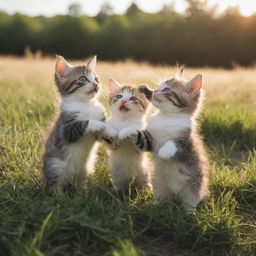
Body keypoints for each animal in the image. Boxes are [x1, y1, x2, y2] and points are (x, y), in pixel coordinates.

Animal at [42, 55, 116, 194]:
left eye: (96, 79)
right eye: (83, 78)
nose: (96, 84)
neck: (86, 104)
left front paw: (110, 129)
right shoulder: (67, 129)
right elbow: (86, 122)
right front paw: (101, 125)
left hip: (86, 167)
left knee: (81, 181)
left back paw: (83, 192)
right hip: (54, 165)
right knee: (54, 184)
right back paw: (58, 195)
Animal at [119, 71, 209, 211]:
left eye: (166, 89)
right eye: (158, 87)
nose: (154, 91)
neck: (167, 117)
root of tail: (175, 194)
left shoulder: (188, 145)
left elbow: (175, 143)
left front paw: (164, 152)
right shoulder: (150, 141)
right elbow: (140, 136)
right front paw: (126, 131)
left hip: (194, 186)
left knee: (190, 201)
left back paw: (188, 212)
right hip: (158, 183)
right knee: (163, 198)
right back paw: (154, 205)